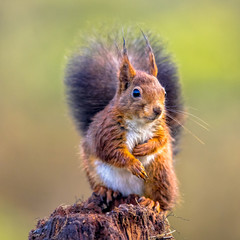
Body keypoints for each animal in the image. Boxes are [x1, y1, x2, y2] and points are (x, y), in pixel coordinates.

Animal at [64, 30, 183, 212]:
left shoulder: (160, 128)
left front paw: (144, 148)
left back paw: (152, 202)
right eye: (136, 93)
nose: (158, 110)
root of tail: (129, 192)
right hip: (93, 170)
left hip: (161, 175)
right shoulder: (107, 132)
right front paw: (133, 163)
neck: (140, 123)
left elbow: (161, 140)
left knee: (164, 203)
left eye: (163, 91)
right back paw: (106, 190)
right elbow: (113, 151)